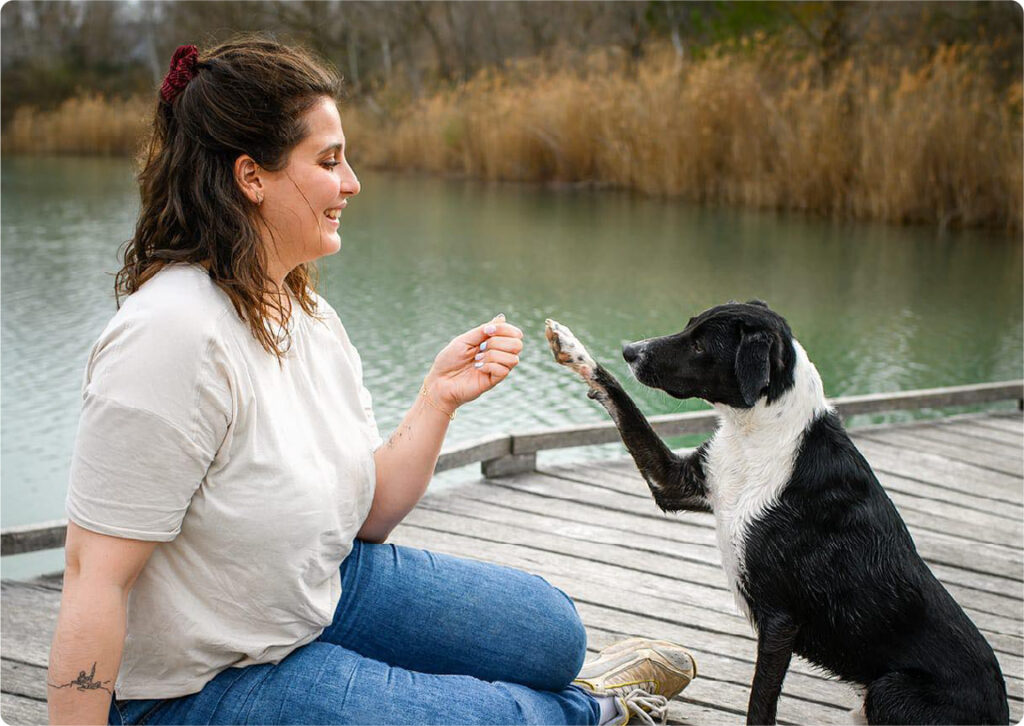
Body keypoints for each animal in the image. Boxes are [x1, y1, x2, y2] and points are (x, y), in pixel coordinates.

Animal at [544, 301, 1007, 724]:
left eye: (700, 345)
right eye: (690, 324)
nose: (630, 351)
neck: (756, 435)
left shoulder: (780, 621)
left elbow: (761, 702)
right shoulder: (675, 483)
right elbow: (621, 402)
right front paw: (572, 347)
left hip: (889, 690)